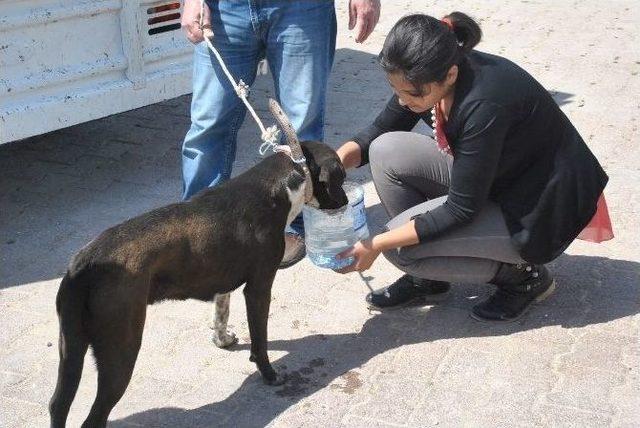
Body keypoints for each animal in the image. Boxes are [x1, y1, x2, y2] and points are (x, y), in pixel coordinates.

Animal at [50, 98, 348, 426]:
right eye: (341, 178)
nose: (347, 201)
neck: (283, 182)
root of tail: (85, 261)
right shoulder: (258, 288)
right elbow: (260, 339)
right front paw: (269, 373)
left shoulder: (224, 284)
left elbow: (221, 314)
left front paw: (223, 339)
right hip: (121, 347)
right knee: (94, 415)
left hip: (70, 348)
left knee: (57, 404)